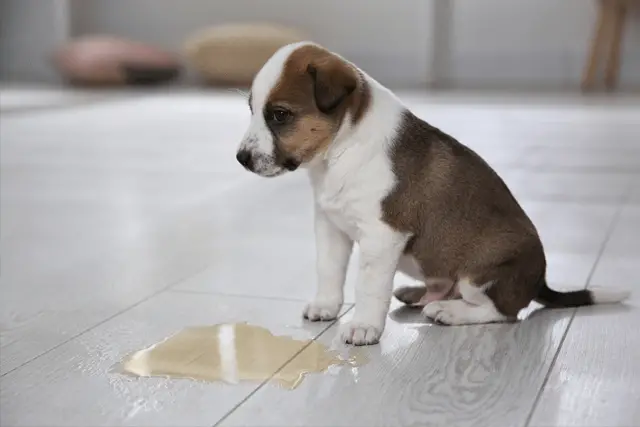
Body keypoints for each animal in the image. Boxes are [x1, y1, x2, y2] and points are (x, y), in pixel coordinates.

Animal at [236, 41, 632, 346]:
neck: (340, 151)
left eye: (280, 115)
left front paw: (363, 326)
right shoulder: (331, 225)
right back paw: (418, 293)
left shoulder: (383, 236)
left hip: (481, 272)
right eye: (253, 110)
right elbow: (329, 270)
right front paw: (326, 306)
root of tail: (539, 281)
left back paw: (448, 311)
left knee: (502, 311)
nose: (240, 158)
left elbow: (369, 285)